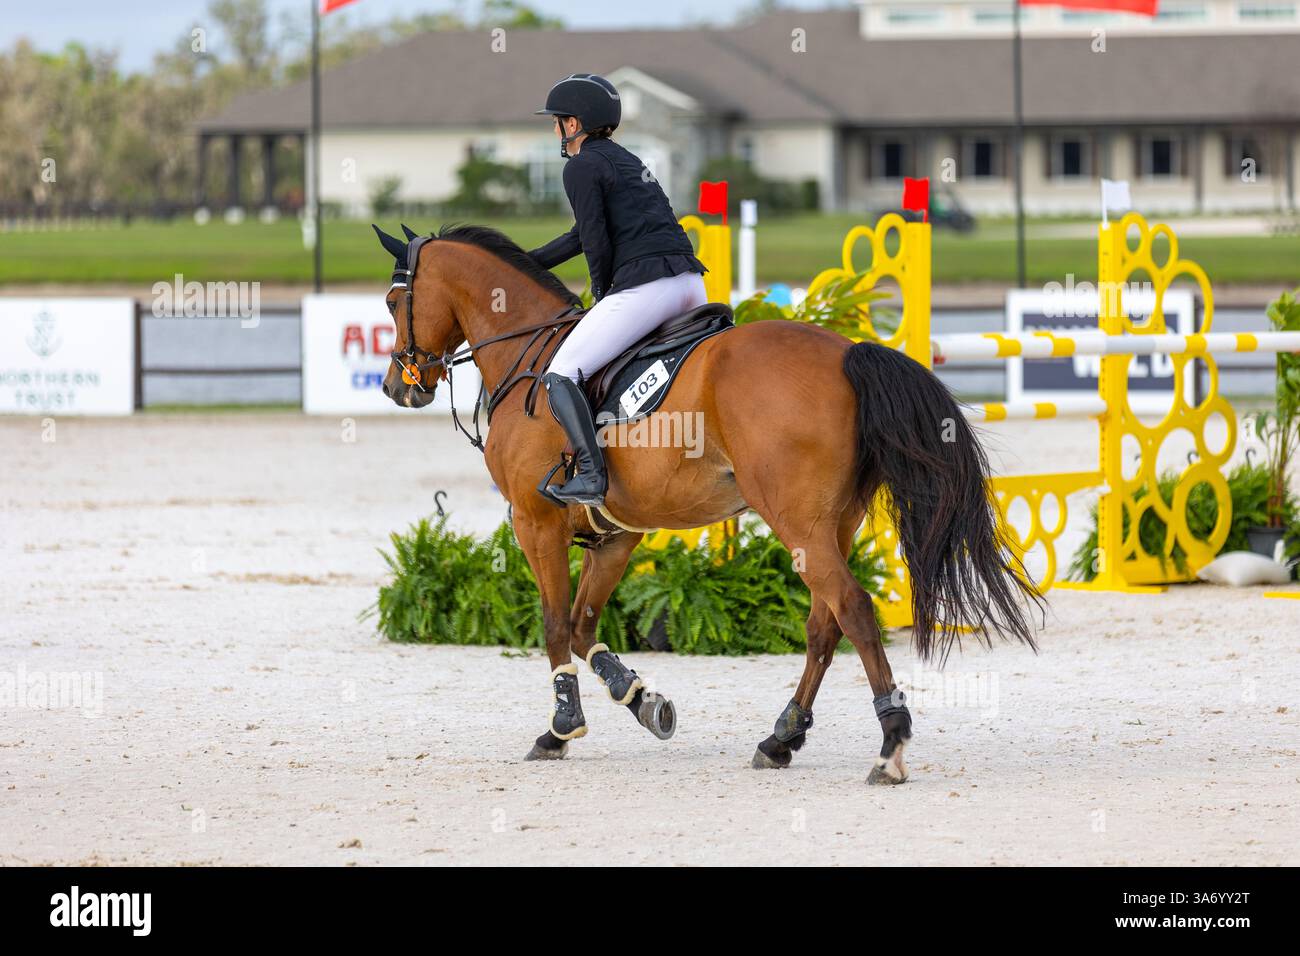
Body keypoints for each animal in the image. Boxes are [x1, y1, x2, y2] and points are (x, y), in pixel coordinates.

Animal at [373, 222, 1041, 785]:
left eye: (391, 303)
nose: (396, 387)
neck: (527, 355)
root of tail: (848, 352)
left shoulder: (536, 524)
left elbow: (556, 623)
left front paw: (561, 728)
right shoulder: (617, 534)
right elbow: (587, 625)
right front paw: (643, 700)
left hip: (796, 520)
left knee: (850, 607)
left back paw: (890, 747)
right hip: (833, 524)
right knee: (824, 624)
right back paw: (780, 740)